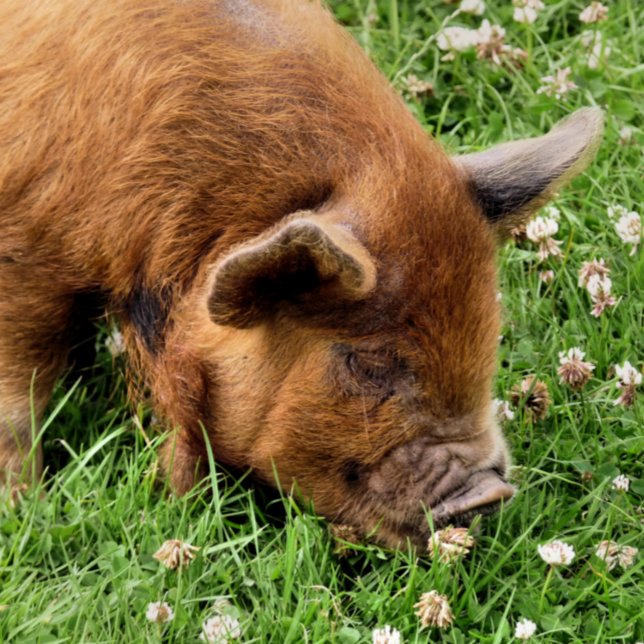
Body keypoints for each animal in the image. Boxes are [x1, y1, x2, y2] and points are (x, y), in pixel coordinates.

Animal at [0, 0, 602, 546]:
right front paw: (25, 506)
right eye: (367, 362)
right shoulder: (25, 250)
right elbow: (18, 402)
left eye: (488, 338)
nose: (490, 493)